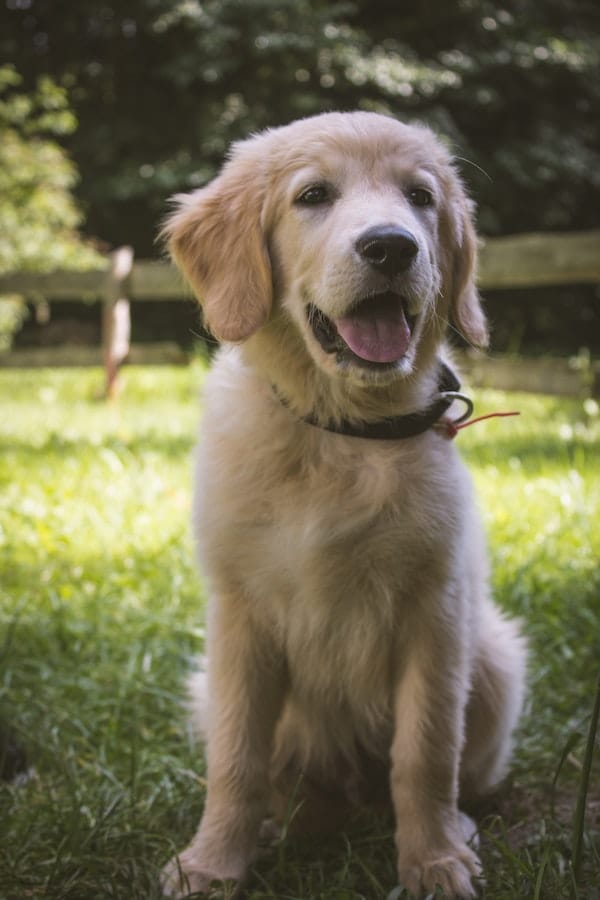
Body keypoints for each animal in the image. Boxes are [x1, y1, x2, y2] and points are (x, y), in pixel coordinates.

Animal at [159, 109, 524, 896]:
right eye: (313, 195)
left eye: (420, 197)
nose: (392, 246)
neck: (342, 433)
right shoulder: (239, 616)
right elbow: (236, 760)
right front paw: (212, 863)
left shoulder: (436, 611)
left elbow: (426, 755)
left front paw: (434, 861)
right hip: (207, 685)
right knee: (295, 789)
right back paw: (282, 825)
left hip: (497, 656)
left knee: (453, 775)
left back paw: (457, 828)